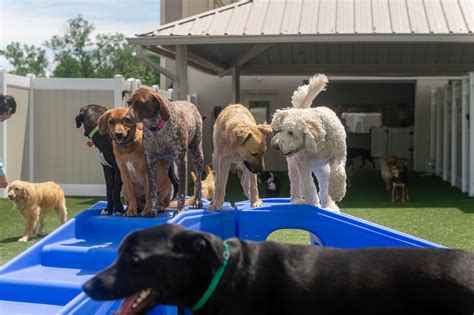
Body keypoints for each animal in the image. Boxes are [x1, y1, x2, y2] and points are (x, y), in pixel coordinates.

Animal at [126, 87, 204, 216]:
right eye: (129, 103)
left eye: (139, 103)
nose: (125, 118)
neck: (157, 129)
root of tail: (191, 104)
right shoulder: (151, 161)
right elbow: (152, 191)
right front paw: (152, 210)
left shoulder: (180, 159)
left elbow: (182, 191)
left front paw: (179, 209)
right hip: (166, 164)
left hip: (197, 154)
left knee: (198, 181)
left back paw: (197, 201)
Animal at [272, 74, 346, 212]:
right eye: (280, 130)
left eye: (291, 132)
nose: (276, 146)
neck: (319, 143)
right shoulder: (302, 163)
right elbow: (308, 185)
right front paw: (313, 204)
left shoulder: (339, 156)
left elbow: (338, 172)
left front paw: (337, 193)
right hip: (293, 164)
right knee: (295, 181)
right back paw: (297, 200)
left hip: (322, 168)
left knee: (325, 183)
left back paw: (329, 205)